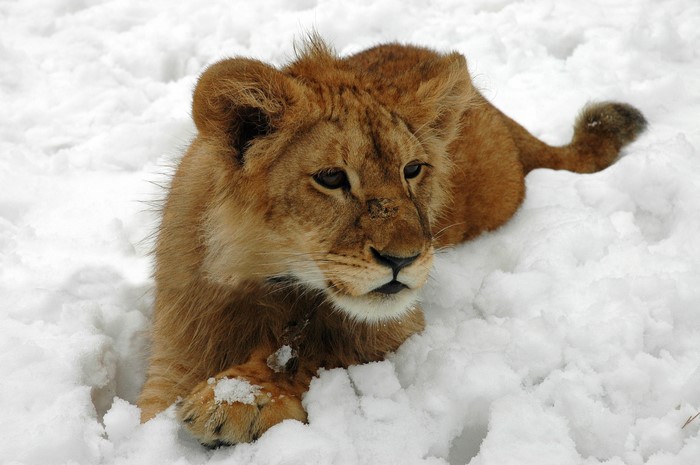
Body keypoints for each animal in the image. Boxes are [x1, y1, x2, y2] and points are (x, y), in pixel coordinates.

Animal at [137, 38, 646, 446]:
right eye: (331, 178)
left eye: (413, 170)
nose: (403, 259)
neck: (262, 279)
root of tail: (496, 110)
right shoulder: (173, 355)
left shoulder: (396, 326)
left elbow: (319, 346)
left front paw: (240, 399)